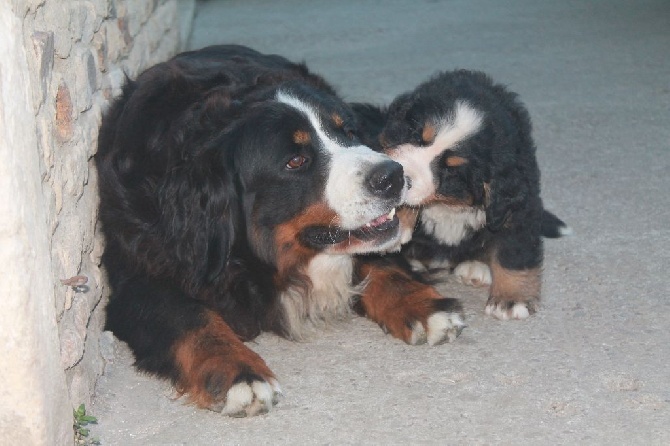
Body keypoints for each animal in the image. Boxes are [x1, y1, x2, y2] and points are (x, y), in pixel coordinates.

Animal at [97, 46, 468, 418]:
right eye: (296, 161)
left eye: (347, 132)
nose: (392, 175)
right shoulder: (138, 276)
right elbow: (190, 316)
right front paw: (237, 371)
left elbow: (381, 264)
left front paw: (421, 303)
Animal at [354, 69, 568, 320]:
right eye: (416, 136)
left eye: (451, 169)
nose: (402, 178)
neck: (446, 204)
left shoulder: (517, 205)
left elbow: (513, 252)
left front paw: (511, 299)